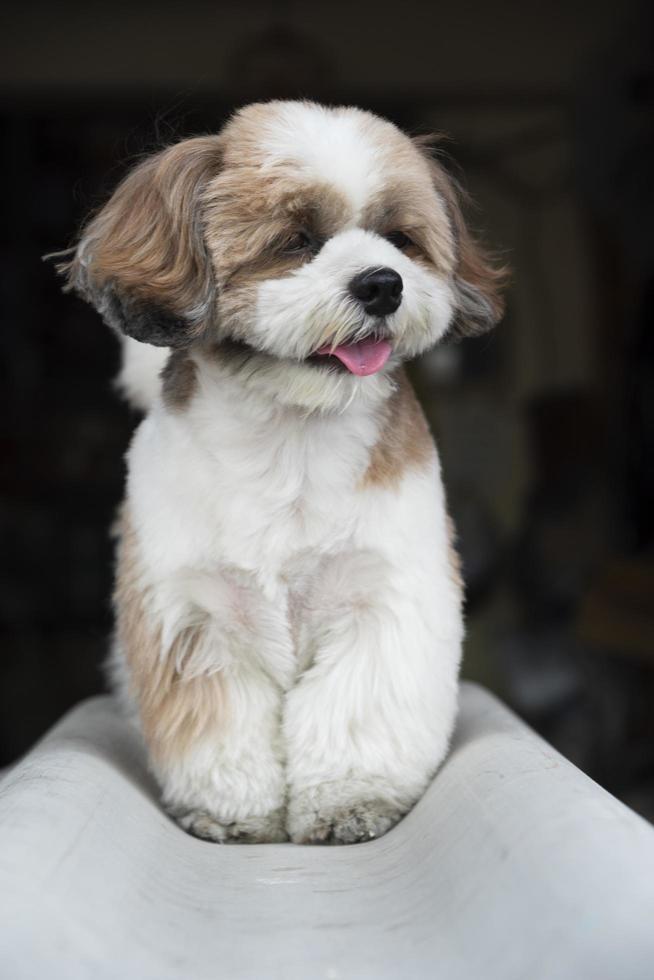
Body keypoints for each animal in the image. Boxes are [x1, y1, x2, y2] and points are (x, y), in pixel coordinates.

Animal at [57, 103, 508, 848]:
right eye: (296, 241)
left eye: (400, 240)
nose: (382, 283)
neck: (292, 437)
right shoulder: (197, 618)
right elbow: (222, 730)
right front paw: (234, 813)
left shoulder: (380, 600)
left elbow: (355, 713)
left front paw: (351, 802)